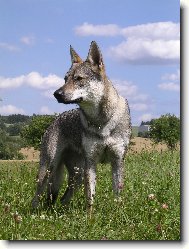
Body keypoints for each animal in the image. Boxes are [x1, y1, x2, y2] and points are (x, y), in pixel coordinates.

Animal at [31, 40, 131, 212]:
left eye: (78, 79)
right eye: (65, 79)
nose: (56, 94)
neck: (102, 122)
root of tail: (55, 120)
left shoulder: (118, 161)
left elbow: (118, 195)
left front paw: (119, 214)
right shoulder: (91, 163)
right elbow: (90, 198)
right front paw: (90, 218)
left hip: (76, 176)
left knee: (63, 198)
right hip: (50, 169)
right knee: (38, 196)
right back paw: (33, 214)